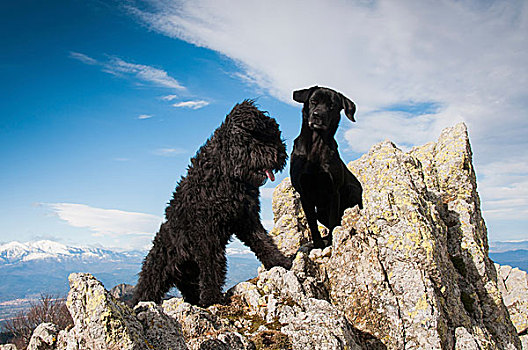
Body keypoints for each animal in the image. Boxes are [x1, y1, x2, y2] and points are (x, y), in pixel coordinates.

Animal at [130, 99, 290, 306]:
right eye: (258, 136)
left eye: (274, 134)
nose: (281, 154)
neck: (225, 171)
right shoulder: (206, 232)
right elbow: (212, 263)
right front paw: (212, 298)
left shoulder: (246, 218)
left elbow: (262, 240)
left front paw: (280, 262)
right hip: (157, 272)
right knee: (145, 289)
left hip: (189, 280)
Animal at [288, 87, 364, 249]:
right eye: (313, 101)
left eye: (331, 106)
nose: (318, 115)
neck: (316, 143)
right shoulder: (304, 194)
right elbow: (312, 224)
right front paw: (317, 245)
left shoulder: (333, 192)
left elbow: (333, 220)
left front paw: (331, 243)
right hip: (320, 212)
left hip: (352, 191)